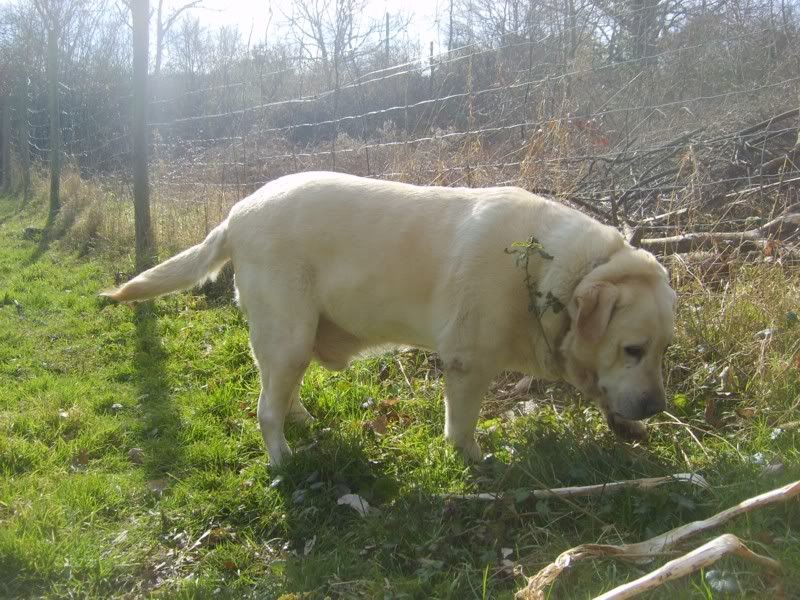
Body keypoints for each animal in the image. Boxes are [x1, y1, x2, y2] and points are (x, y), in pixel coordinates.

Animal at [106, 171, 680, 466]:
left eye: (663, 350)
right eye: (632, 349)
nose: (656, 406)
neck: (542, 271)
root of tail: (235, 214)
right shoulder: (468, 365)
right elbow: (462, 430)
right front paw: (476, 461)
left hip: (293, 340)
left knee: (278, 392)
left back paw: (301, 421)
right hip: (289, 334)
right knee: (265, 410)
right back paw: (284, 462)